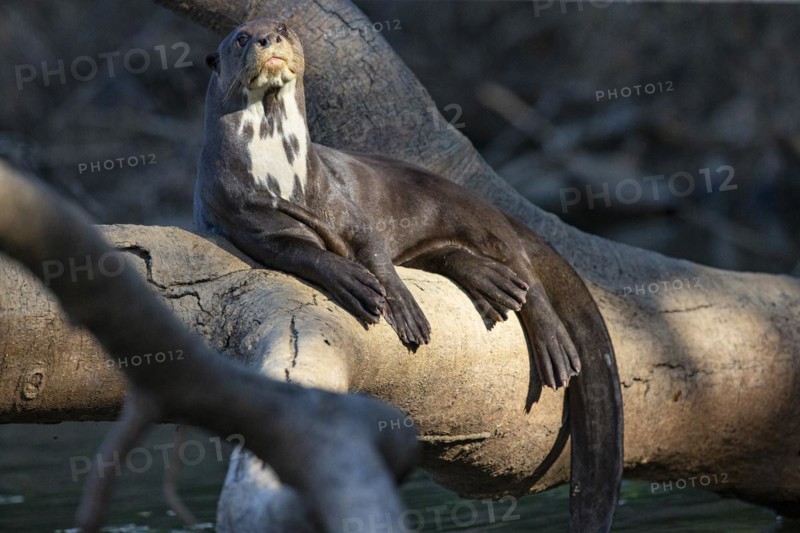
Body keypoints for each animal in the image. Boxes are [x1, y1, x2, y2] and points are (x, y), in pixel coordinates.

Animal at [195, 19, 622, 532]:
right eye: (240, 38)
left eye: (283, 29)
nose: (267, 40)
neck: (283, 176)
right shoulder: (250, 221)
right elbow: (308, 255)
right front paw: (355, 284)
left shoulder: (341, 202)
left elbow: (373, 250)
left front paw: (404, 310)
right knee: (456, 258)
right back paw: (491, 285)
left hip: (471, 212)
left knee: (527, 273)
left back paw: (553, 343)